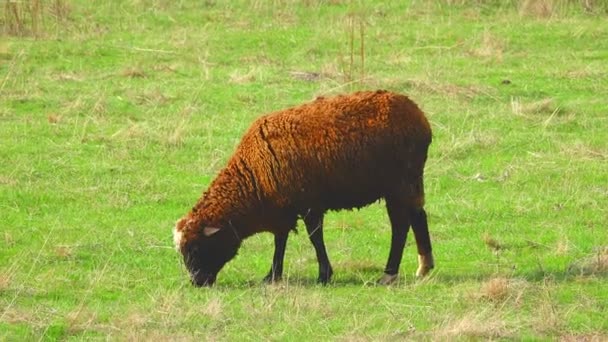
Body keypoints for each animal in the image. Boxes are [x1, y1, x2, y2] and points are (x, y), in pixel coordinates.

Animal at [173, 90, 434, 286]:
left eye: (196, 248)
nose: (197, 282)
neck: (252, 178)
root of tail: (419, 117)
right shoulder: (281, 209)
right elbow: (280, 241)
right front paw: (272, 276)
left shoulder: (309, 204)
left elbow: (314, 237)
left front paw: (323, 275)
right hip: (410, 181)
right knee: (418, 215)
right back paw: (424, 267)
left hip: (399, 183)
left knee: (400, 225)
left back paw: (389, 274)